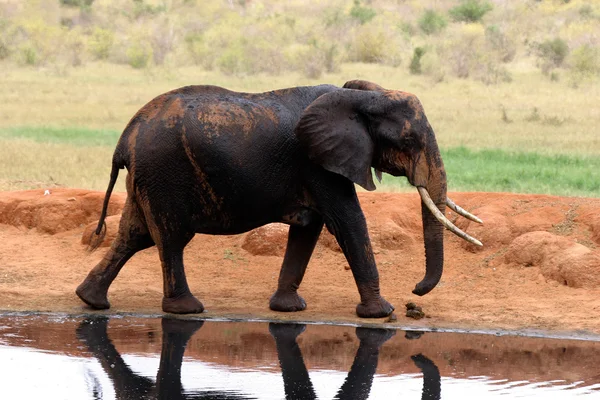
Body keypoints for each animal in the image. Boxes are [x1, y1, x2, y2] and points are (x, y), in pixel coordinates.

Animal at [77, 79, 482, 318]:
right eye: (409, 141)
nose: (416, 291)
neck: (362, 96)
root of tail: (125, 136)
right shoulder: (318, 163)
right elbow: (347, 221)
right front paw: (381, 313)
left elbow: (309, 229)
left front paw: (288, 309)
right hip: (165, 172)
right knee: (171, 238)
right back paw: (186, 309)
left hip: (148, 176)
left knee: (135, 234)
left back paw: (91, 300)